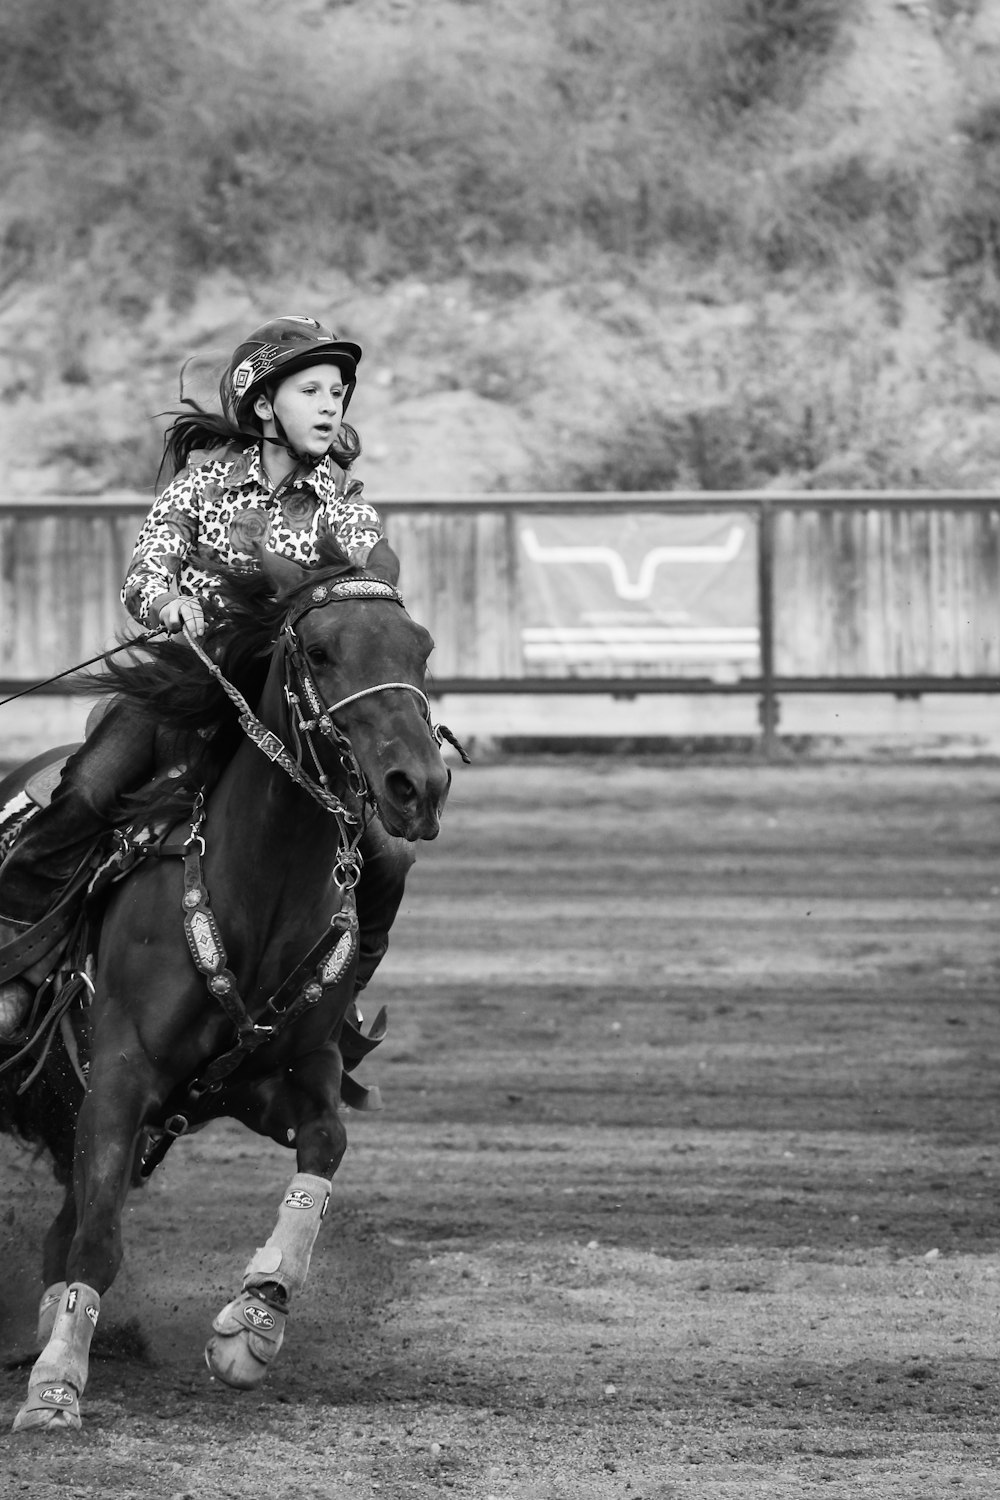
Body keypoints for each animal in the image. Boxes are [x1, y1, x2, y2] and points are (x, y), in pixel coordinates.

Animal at [0, 540, 452, 1428]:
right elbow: (99, 1236)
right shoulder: (120, 1074)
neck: (257, 894)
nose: (417, 786)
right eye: (320, 651)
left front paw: (254, 1321)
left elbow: (325, 1150)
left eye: (420, 650)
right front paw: (55, 1388)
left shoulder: (283, 1077)